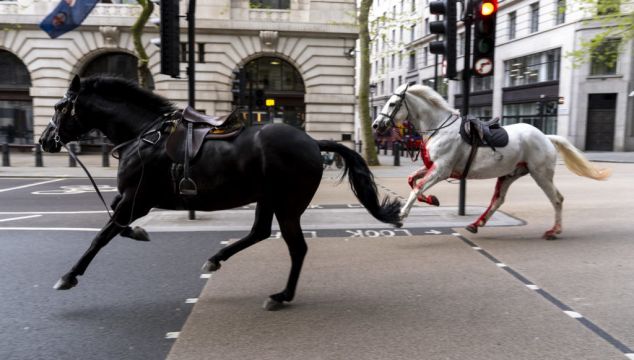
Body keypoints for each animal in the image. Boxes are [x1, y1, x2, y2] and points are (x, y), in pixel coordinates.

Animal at [38, 76, 400, 310]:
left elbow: (102, 235)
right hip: (268, 199)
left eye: (59, 107)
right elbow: (116, 224)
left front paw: (69, 276)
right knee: (259, 232)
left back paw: (281, 295)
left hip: (287, 204)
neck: (143, 135)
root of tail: (313, 141)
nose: (44, 141)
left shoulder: (137, 199)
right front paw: (139, 233)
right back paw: (217, 259)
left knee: (296, 247)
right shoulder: (130, 199)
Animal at [370, 84, 608, 239]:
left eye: (392, 104)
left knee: (557, 199)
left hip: (541, 174)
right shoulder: (433, 167)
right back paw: (477, 224)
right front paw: (432, 200)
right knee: (498, 201)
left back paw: (554, 231)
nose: (375, 125)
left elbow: (417, 187)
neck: (439, 127)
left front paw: (401, 215)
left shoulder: (441, 170)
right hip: (509, 174)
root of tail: (546, 137)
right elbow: (412, 180)